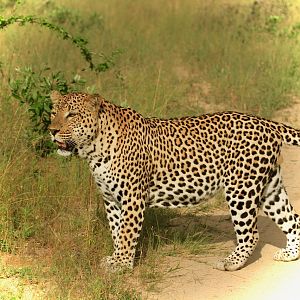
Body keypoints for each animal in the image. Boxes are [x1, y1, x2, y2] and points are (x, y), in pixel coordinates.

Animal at [48, 91, 300, 272]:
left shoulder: (132, 198)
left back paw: (231, 262)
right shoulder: (111, 199)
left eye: (72, 115)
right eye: (53, 113)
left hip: (241, 188)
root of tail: (266, 122)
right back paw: (289, 254)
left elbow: (127, 233)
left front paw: (121, 264)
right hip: (270, 188)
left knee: (251, 233)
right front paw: (116, 258)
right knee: (293, 220)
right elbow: (116, 231)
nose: (52, 130)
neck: (94, 148)